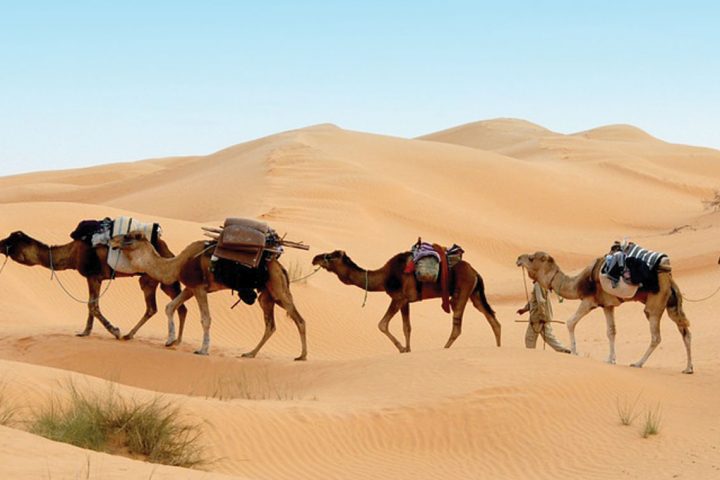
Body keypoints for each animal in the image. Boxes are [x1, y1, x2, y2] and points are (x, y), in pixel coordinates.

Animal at [0, 231, 188, 340]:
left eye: (11, 240)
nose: (0, 242)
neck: (73, 253)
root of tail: (167, 250)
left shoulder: (93, 276)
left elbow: (93, 305)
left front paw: (115, 331)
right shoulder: (94, 278)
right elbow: (90, 305)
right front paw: (85, 332)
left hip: (151, 278)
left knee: (155, 307)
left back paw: (130, 335)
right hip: (160, 279)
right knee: (176, 307)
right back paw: (173, 341)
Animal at [109, 232, 306, 360]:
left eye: (127, 237)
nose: (112, 240)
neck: (176, 265)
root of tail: (280, 267)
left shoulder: (199, 288)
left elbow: (206, 319)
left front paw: (202, 350)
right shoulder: (190, 288)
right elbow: (170, 307)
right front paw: (170, 340)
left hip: (278, 288)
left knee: (299, 319)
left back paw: (302, 356)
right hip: (266, 295)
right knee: (270, 325)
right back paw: (250, 353)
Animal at [310, 251, 500, 352]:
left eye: (331, 256)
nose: (315, 258)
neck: (383, 277)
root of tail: (475, 272)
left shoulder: (398, 297)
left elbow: (382, 324)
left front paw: (401, 349)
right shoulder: (406, 301)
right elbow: (406, 327)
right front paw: (408, 350)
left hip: (462, 292)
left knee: (457, 327)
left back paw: (444, 348)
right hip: (475, 293)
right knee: (493, 320)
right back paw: (499, 348)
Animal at [516, 251, 692, 376]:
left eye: (531, 258)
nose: (518, 258)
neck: (578, 283)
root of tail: (669, 277)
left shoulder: (589, 301)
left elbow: (570, 322)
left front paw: (574, 352)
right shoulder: (607, 305)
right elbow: (611, 331)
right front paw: (610, 359)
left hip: (655, 303)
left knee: (656, 336)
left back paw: (638, 363)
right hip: (671, 303)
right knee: (685, 330)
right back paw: (688, 368)